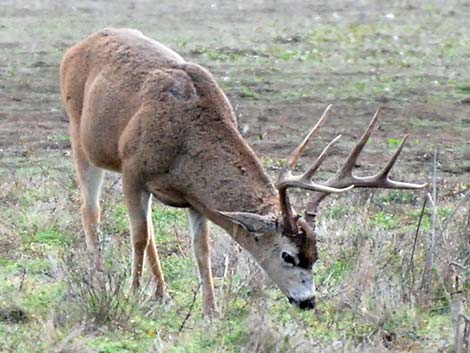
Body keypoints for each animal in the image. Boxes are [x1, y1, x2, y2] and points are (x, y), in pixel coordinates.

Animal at [59, 27, 426, 314]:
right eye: (288, 256)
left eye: (316, 254)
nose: (308, 302)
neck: (185, 138)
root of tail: (78, 46)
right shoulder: (133, 171)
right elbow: (138, 236)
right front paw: (133, 296)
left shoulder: (195, 198)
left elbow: (201, 251)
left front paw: (210, 310)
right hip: (80, 136)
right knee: (91, 211)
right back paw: (100, 273)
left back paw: (162, 292)